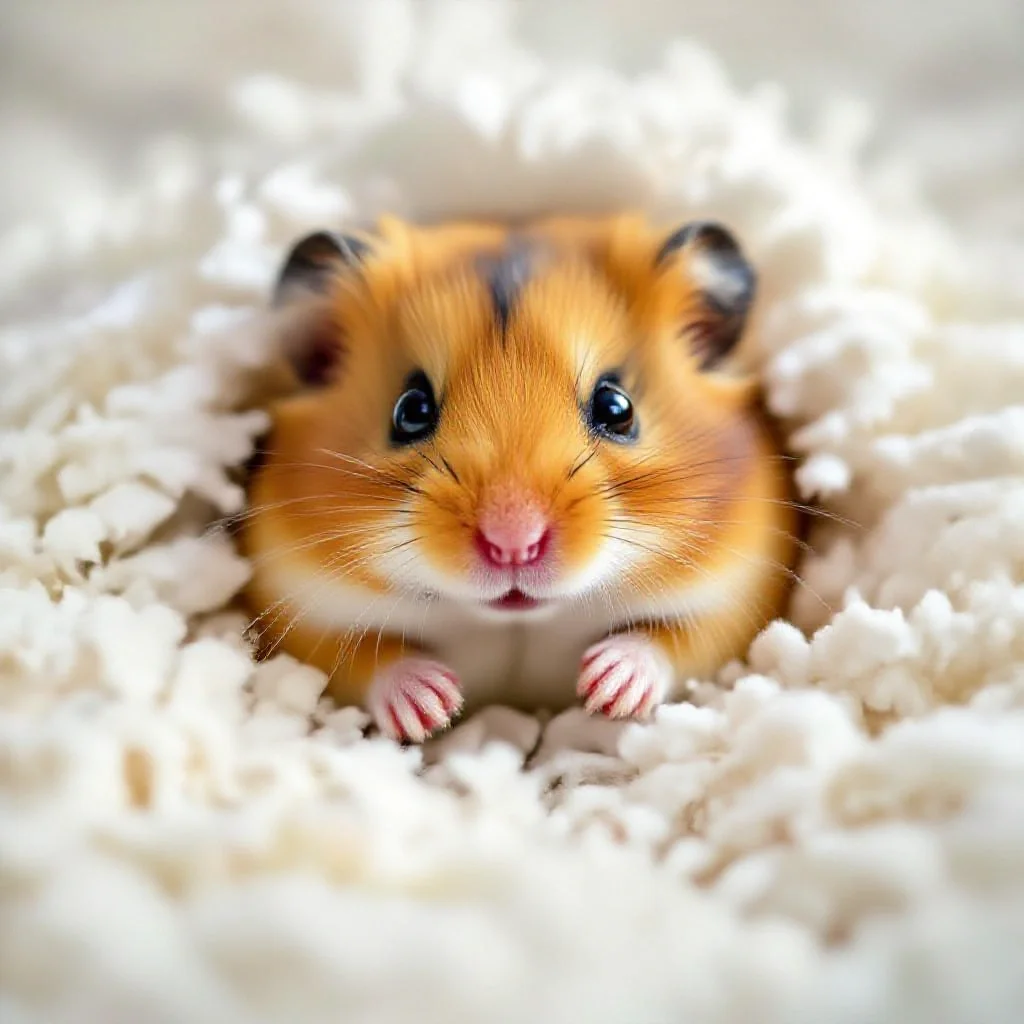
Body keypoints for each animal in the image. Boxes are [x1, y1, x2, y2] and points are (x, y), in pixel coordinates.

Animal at [240, 213, 798, 743]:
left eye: (617, 407)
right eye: (410, 411)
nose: (513, 544)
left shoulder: (741, 598)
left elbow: (673, 643)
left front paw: (605, 687)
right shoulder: (298, 616)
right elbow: (363, 663)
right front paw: (433, 705)